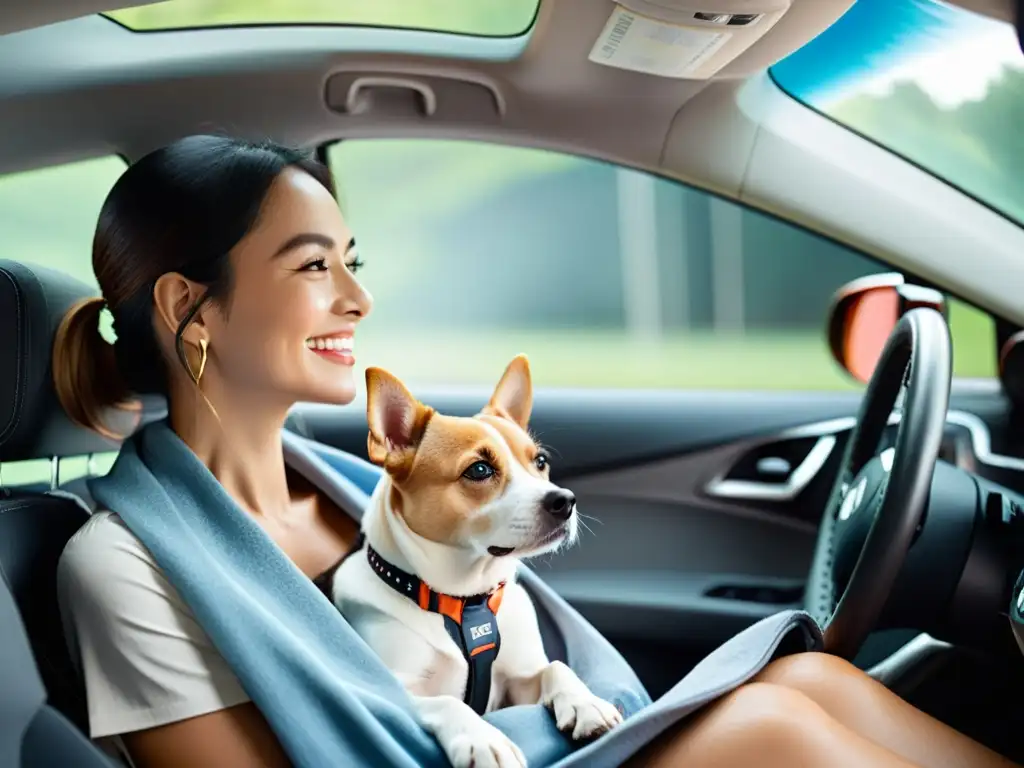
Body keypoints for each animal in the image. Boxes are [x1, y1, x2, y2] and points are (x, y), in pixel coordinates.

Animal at [333, 354, 622, 768]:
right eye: (480, 470)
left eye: (540, 462)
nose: (564, 501)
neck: (464, 599)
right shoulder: (398, 687)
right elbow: (446, 702)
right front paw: (482, 739)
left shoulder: (517, 683)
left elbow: (556, 667)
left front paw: (585, 703)